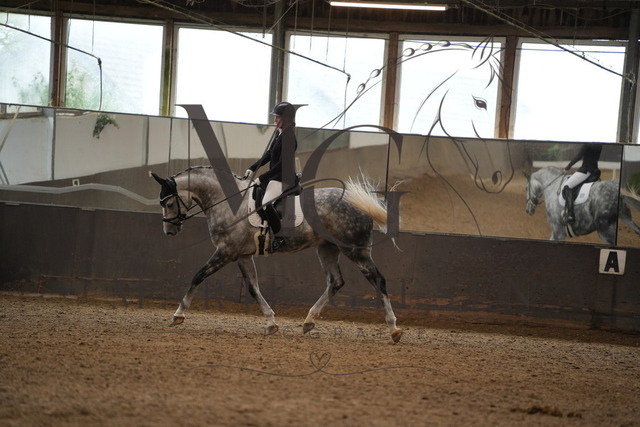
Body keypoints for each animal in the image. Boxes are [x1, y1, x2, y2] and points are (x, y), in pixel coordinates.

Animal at [151, 166, 403, 343]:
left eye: (169, 203)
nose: (169, 231)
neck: (228, 203)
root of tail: (358, 204)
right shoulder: (241, 256)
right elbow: (253, 288)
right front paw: (271, 323)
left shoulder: (226, 252)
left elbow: (198, 276)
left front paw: (178, 315)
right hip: (327, 248)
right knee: (336, 281)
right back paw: (308, 322)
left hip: (355, 250)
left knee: (378, 280)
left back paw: (394, 329)